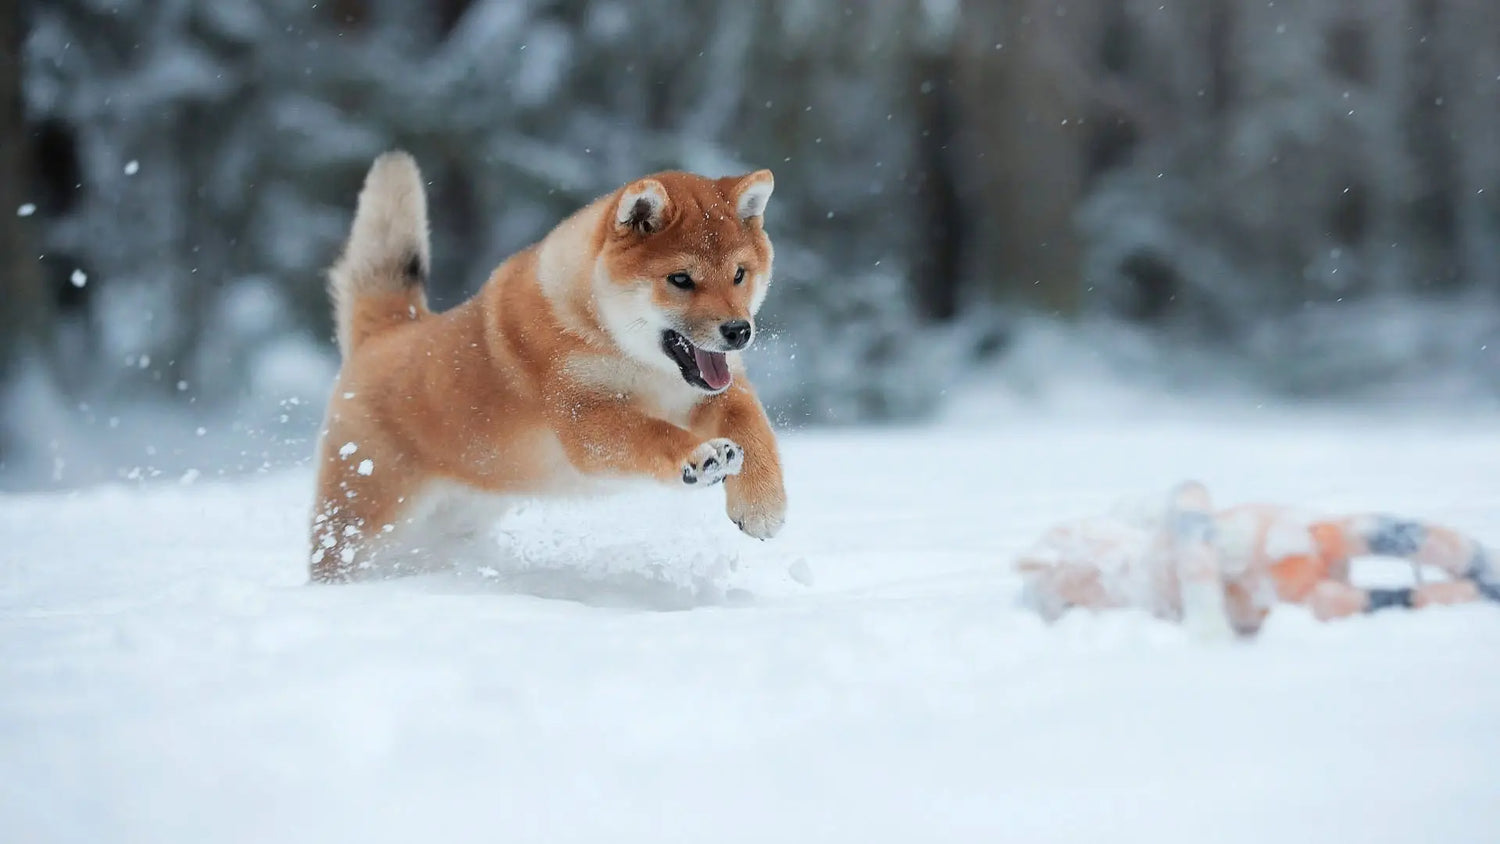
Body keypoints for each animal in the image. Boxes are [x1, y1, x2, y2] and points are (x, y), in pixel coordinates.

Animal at [312, 152, 792, 581]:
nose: (738, 330)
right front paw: (699, 456)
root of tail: (385, 333)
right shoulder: (584, 415)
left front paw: (762, 506)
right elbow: (653, 434)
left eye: (739, 274)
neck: (631, 356)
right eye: (680, 279)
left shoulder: (718, 390)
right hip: (364, 516)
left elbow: (753, 427)